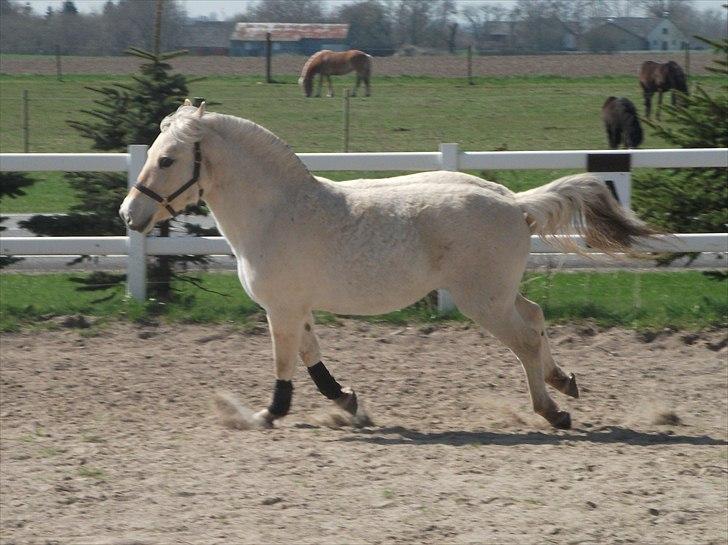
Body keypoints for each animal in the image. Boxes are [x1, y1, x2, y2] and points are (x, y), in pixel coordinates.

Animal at [118, 103, 656, 430]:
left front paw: (266, 415)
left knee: (523, 340)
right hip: (500, 294)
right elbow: (312, 359)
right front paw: (348, 402)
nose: (129, 214)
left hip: (483, 301)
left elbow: (285, 363)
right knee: (537, 317)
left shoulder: (281, 308)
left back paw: (552, 411)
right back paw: (564, 381)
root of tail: (513, 201)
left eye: (167, 160)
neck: (276, 212)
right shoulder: (297, 307)